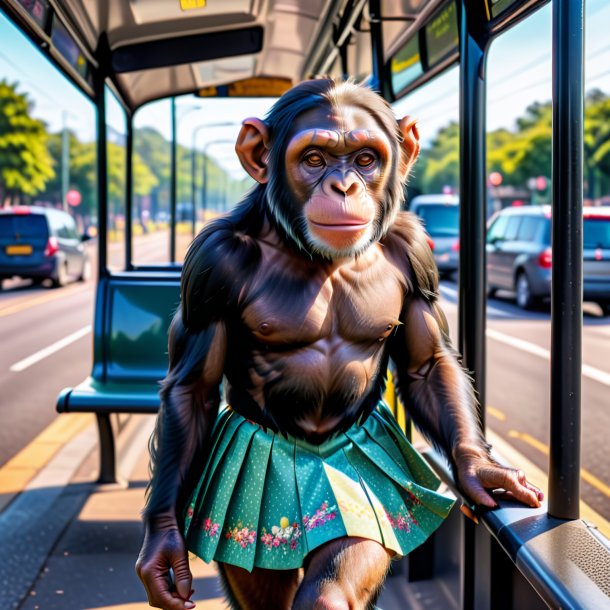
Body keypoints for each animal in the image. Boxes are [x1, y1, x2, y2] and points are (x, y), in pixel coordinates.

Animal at [135, 81, 540, 608]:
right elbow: (192, 389)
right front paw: (162, 543)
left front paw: (479, 469)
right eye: (314, 159)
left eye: (365, 158)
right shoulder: (210, 266)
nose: (344, 187)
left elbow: (427, 363)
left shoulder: (415, 250)